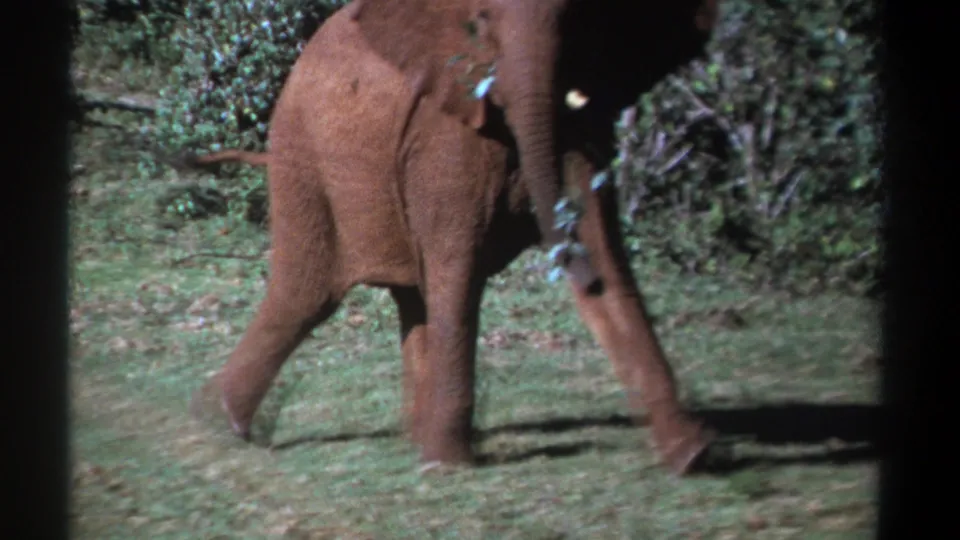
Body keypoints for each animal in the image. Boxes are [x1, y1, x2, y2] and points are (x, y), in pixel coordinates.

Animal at [188, 0, 721, 475]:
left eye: (578, 21)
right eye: (480, 23)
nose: (580, 274)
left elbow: (603, 245)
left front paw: (693, 455)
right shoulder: (444, 130)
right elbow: (457, 270)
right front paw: (448, 466)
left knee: (407, 297)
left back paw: (409, 437)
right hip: (302, 152)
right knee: (307, 293)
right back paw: (218, 423)